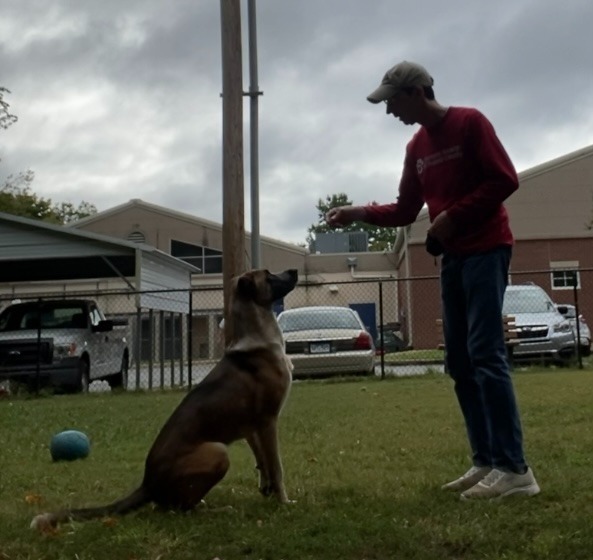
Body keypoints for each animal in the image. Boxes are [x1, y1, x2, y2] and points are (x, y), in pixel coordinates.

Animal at [30, 270, 298, 532]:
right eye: (269, 276)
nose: (294, 271)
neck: (257, 336)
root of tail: (148, 483)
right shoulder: (267, 421)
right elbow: (277, 467)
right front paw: (284, 501)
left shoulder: (251, 427)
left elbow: (263, 462)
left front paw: (267, 489)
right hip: (217, 451)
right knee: (181, 509)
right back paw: (218, 510)